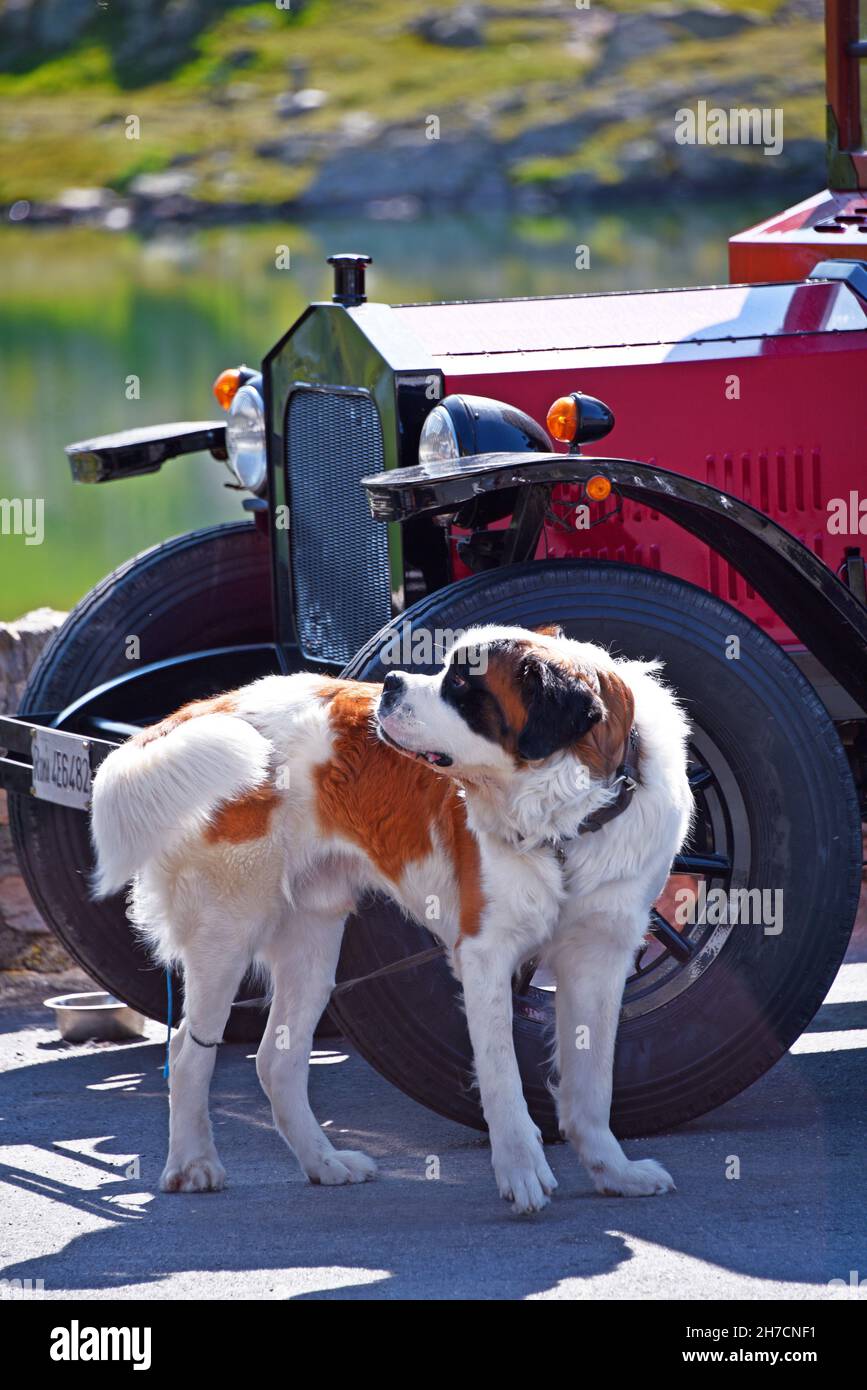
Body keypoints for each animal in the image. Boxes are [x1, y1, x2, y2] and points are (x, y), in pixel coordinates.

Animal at [89, 625, 691, 1212]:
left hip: (313, 938)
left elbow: (593, 1083)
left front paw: (614, 1171)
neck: (570, 819)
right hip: (227, 930)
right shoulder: (485, 954)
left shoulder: (600, 957)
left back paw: (325, 1163)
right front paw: (522, 1171)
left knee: (275, 1061)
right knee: (188, 1052)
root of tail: (215, 705)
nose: (392, 683)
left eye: (462, 685)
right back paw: (193, 1164)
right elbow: (502, 1076)